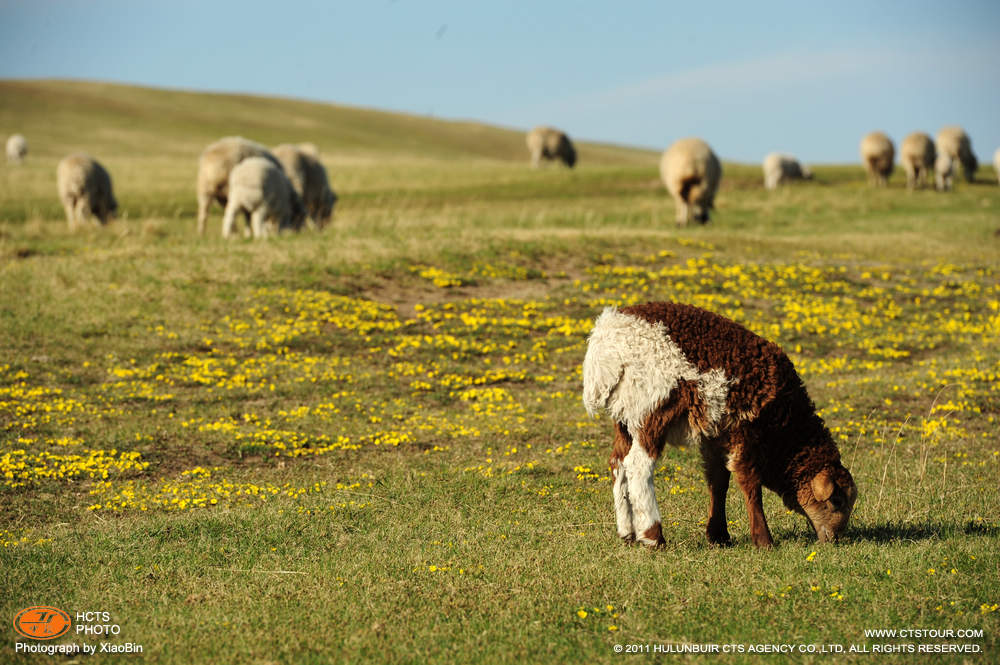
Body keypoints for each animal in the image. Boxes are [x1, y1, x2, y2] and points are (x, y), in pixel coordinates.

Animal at [584, 304, 860, 548]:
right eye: (836, 500)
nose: (835, 539)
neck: (785, 429)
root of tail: (607, 341)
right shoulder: (746, 430)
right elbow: (750, 484)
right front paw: (763, 541)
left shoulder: (716, 434)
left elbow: (718, 481)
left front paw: (719, 536)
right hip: (652, 407)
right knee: (639, 466)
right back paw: (653, 537)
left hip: (624, 416)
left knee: (617, 462)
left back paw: (627, 533)